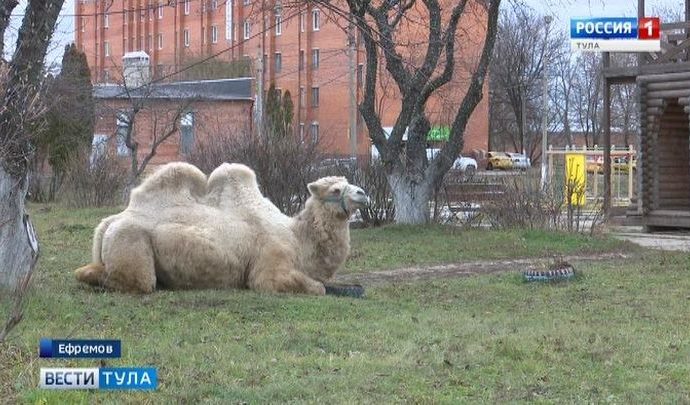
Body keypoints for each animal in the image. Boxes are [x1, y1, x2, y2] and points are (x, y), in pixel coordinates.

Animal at [74, 162, 368, 295]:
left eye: (349, 183)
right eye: (335, 189)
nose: (363, 193)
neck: (297, 238)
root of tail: (109, 222)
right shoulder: (270, 264)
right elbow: (316, 287)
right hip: (131, 238)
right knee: (136, 281)